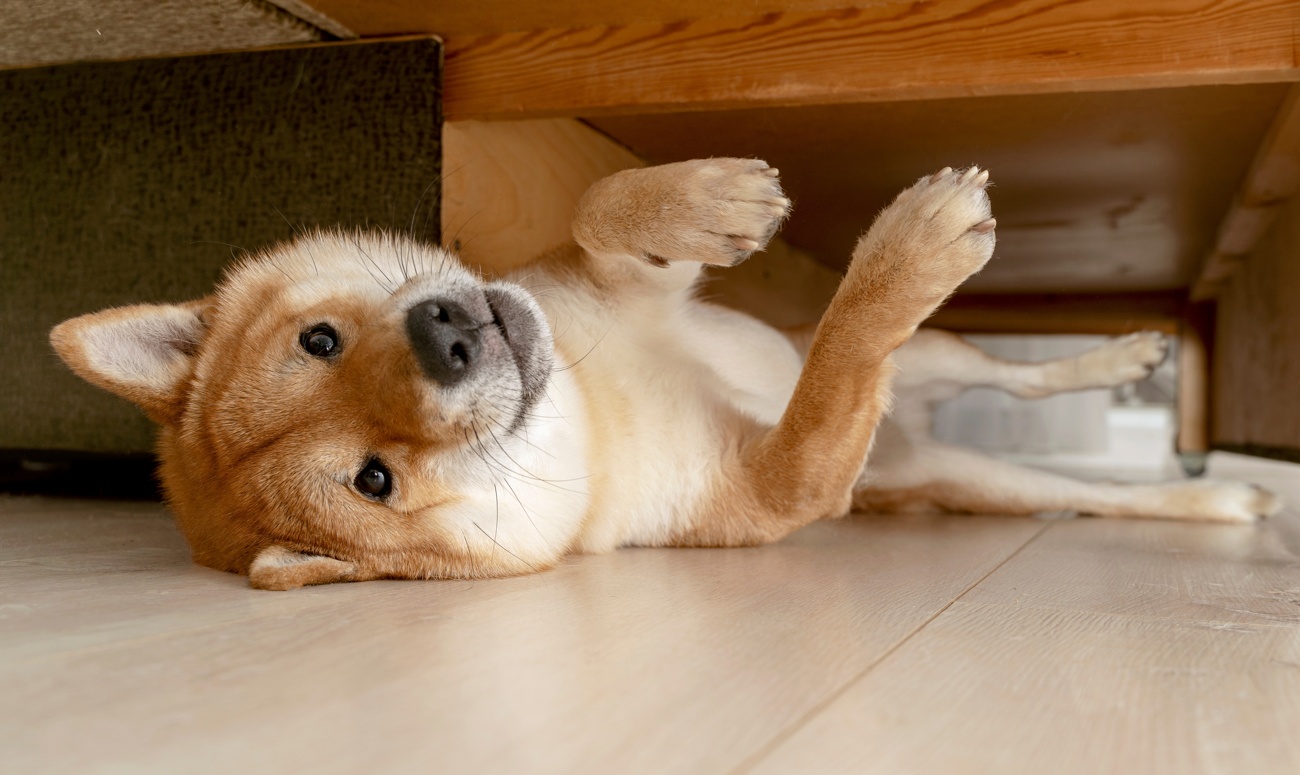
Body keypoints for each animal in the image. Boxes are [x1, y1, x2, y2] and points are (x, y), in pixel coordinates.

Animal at [50, 161, 1279, 587]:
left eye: (320, 341)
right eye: (373, 480)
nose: (451, 338)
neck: (594, 407)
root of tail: (918, 446)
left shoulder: (601, 278)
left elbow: (603, 203)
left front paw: (712, 196)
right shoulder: (785, 485)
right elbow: (831, 379)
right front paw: (900, 258)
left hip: (943, 370)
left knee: (1017, 380)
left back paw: (1127, 359)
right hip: (963, 475)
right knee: (1083, 490)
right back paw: (1218, 494)